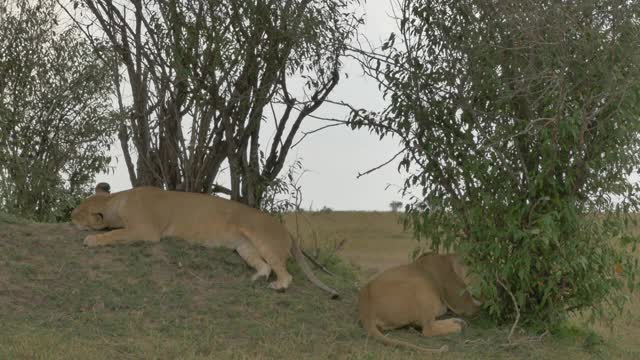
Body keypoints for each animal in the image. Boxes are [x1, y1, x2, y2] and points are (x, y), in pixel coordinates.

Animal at [70, 183, 340, 298]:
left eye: (78, 212)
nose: (70, 215)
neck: (117, 200)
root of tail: (287, 231)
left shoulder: (146, 230)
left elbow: (114, 234)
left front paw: (92, 239)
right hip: (245, 247)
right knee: (263, 266)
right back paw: (255, 278)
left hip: (264, 241)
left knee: (285, 272)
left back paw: (278, 286)